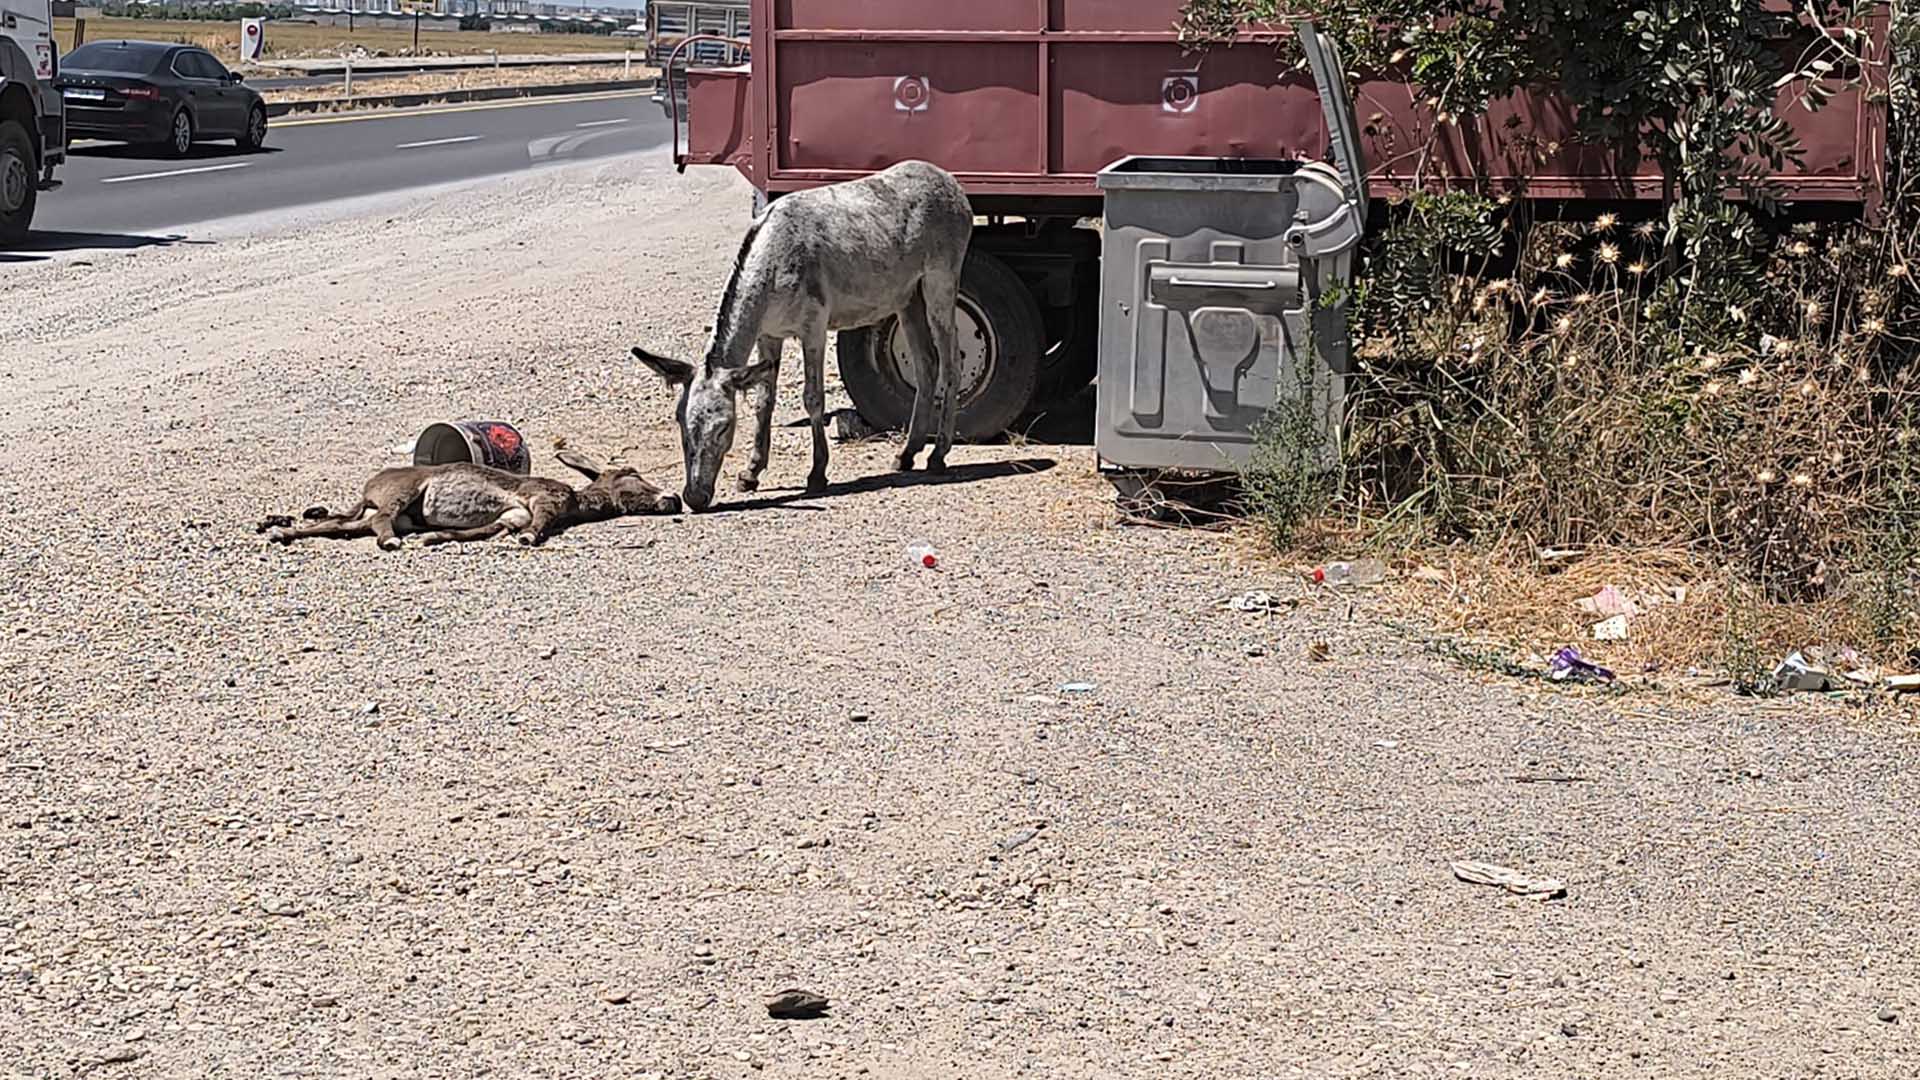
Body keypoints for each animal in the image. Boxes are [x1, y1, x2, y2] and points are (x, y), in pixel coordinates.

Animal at [633, 157, 975, 511]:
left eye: (723, 427)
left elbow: (813, 398)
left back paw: (938, 455)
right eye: (681, 423)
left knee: (951, 363)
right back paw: (907, 454)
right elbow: (764, 400)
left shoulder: (813, 327)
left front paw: (817, 474)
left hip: (941, 282)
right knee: (926, 365)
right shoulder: (768, 335)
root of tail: (948, 180)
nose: (695, 497)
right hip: (907, 297)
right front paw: (751, 472)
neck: (771, 267)